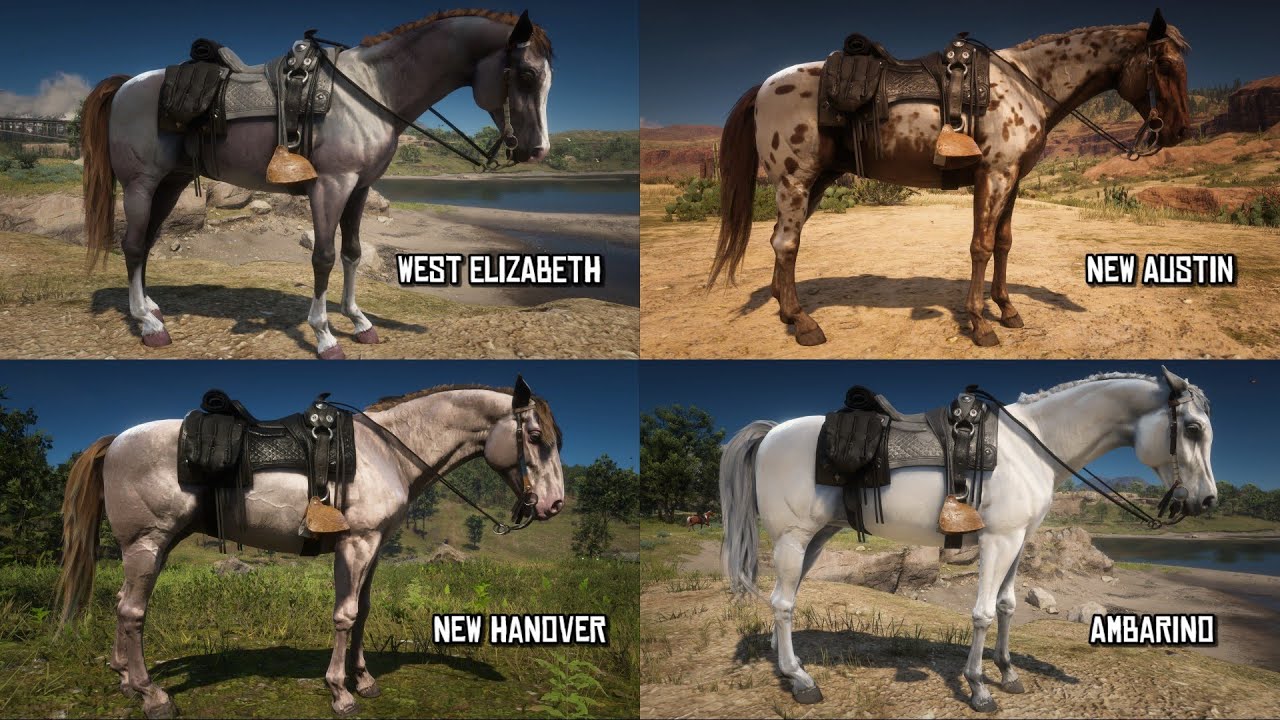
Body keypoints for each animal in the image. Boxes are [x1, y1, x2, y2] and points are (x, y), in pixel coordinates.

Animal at [57, 378, 566, 718]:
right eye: (534, 437)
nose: (554, 504)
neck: (388, 451)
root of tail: (115, 442)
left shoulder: (373, 546)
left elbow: (363, 612)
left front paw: (364, 680)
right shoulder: (355, 544)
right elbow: (345, 615)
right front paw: (340, 691)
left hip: (146, 548)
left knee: (121, 604)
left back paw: (125, 678)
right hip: (148, 543)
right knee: (132, 612)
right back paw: (151, 694)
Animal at [80, 9, 553, 359]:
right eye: (527, 75)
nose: (538, 150)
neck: (369, 90)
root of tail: (126, 85)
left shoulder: (359, 188)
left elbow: (353, 252)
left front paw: (359, 321)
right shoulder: (332, 185)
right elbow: (323, 258)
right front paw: (324, 334)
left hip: (171, 184)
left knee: (148, 242)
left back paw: (152, 307)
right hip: (141, 184)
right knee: (133, 245)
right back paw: (147, 324)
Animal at [709, 9, 1190, 348]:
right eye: (1165, 64)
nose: (1180, 130)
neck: (1026, 84)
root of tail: (764, 87)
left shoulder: (1012, 179)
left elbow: (1004, 243)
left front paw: (1007, 310)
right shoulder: (993, 175)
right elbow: (981, 246)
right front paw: (979, 323)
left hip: (815, 182)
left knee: (778, 240)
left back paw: (786, 312)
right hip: (795, 181)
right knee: (786, 243)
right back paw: (805, 323)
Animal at [718, 367, 1216, 712]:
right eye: (1192, 429)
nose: (1207, 500)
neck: (1032, 445)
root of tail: (771, 432)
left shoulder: (1019, 540)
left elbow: (1007, 605)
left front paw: (1008, 673)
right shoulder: (999, 540)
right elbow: (981, 612)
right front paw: (978, 688)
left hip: (815, 538)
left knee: (783, 600)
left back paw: (782, 661)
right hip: (793, 538)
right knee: (783, 602)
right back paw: (800, 680)